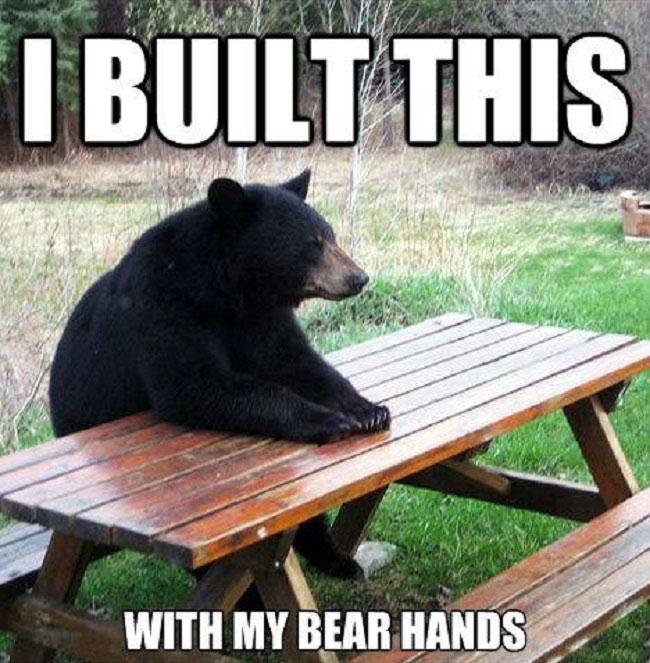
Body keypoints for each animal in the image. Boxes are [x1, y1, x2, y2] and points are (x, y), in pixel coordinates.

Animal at [49, 169, 390, 579]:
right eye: (313, 243)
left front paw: (367, 409)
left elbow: (296, 362)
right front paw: (330, 420)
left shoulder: (260, 318)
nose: (359, 278)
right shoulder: (162, 307)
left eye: (330, 235)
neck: (229, 291)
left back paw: (336, 558)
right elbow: (198, 386)